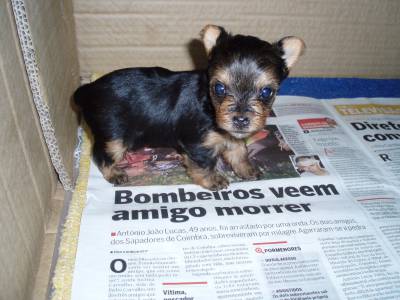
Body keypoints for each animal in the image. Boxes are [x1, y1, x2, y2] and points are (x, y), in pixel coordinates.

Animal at [75, 25, 304, 190]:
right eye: (219, 88)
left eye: (266, 92)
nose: (240, 119)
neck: (210, 108)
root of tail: (88, 89)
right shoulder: (198, 145)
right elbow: (204, 164)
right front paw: (213, 180)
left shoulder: (232, 137)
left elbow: (239, 152)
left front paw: (247, 170)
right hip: (114, 137)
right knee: (101, 154)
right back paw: (114, 173)